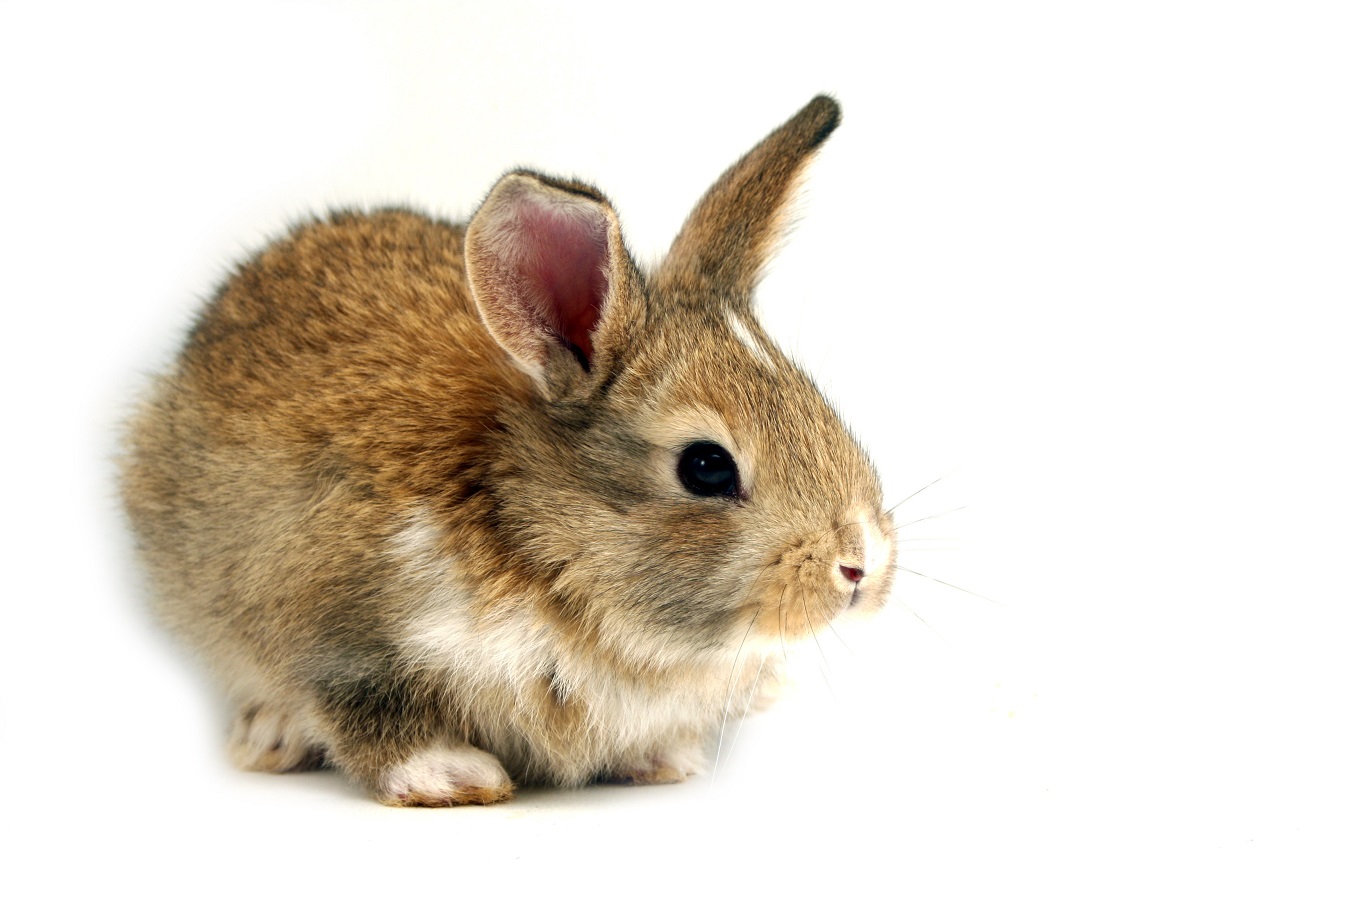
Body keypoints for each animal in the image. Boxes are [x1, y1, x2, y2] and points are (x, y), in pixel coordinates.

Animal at [119, 94, 896, 806]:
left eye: (820, 406)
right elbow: (367, 714)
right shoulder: (335, 633)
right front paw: (451, 776)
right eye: (706, 467)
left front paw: (665, 761)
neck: (533, 537)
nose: (859, 567)